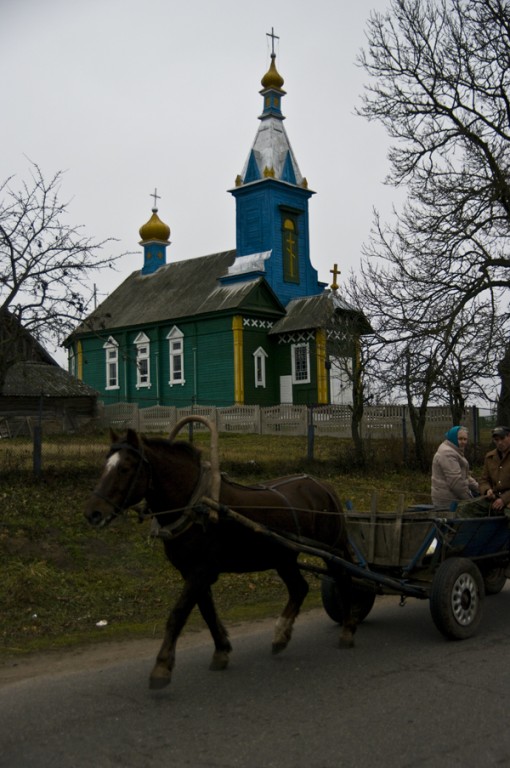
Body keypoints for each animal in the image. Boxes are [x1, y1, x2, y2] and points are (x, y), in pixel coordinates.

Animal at [85, 426, 356, 688]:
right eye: (104, 466)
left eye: (124, 468)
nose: (93, 513)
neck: (195, 505)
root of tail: (323, 486)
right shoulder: (192, 572)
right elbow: (207, 611)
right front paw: (221, 651)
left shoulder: (201, 571)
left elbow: (178, 614)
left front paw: (161, 667)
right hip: (284, 557)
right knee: (299, 588)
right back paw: (281, 635)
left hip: (332, 550)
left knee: (344, 579)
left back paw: (347, 630)